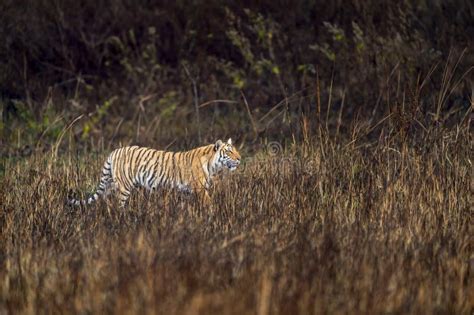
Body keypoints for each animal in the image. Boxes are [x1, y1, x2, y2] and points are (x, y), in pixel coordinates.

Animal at [67, 138, 241, 207]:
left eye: (236, 150)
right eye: (229, 151)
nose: (240, 159)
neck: (213, 165)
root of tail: (114, 151)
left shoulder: (188, 190)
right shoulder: (199, 188)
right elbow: (209, 202)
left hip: (110, 183)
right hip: (123, 187)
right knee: (119, 204)